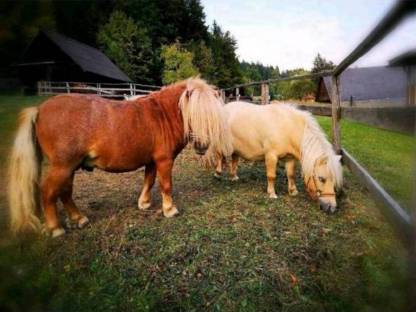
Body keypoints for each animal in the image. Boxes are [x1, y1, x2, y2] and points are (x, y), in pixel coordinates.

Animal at [8, 77, 231, 236]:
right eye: (193, 113)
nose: (202, 146)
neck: (162, 115)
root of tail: (39, 109)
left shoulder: (152, 161)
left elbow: (149, 181)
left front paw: (144, 203)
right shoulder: (164, 160)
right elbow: (166, 185)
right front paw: (169, 209)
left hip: (69, 167)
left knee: (65, 192)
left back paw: (79, 219)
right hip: (62, 166)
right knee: (48, 191)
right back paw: (55, 228)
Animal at [213, 101, 342, 213]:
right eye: (321, 178)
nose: (331, 208)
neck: (287, 128)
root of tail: (225, 107)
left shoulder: (290, 159)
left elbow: (290, 175)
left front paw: (293, 191)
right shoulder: (271, 156)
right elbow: (271, 176)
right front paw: (272, 194)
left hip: (236, 147)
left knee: (234, 159)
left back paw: (233, 177)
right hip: (222, 143)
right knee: (219, 155)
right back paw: (217, 174)